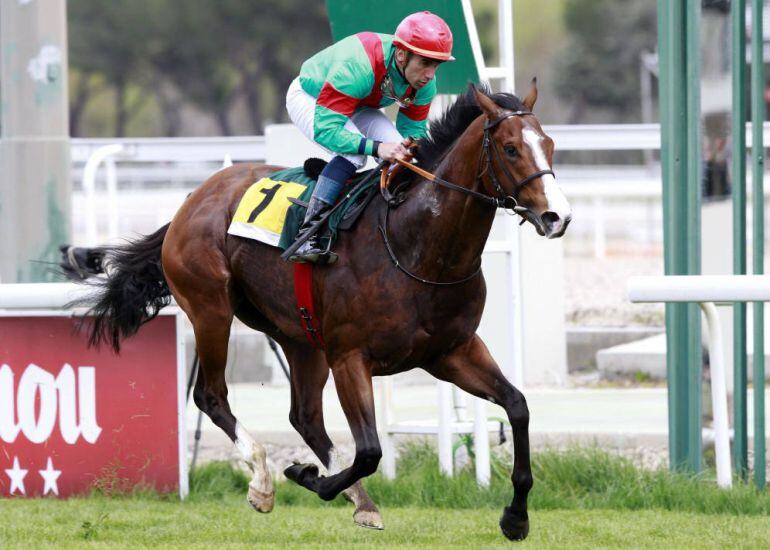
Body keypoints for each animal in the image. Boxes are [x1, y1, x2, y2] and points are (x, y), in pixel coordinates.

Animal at [81, 84, 568, 540]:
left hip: (300, 337)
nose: (557, 217)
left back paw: (356, 498)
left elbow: (518, 406)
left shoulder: (452, 352)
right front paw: (305, 475)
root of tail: (193, 198)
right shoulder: (351, 357)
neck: (417, 247)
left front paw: (516, 517)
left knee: (305, 417)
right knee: (212, 396)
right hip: (210, 309)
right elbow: (370, 451)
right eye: (510, 148)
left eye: (549, 144)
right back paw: (263, 480)